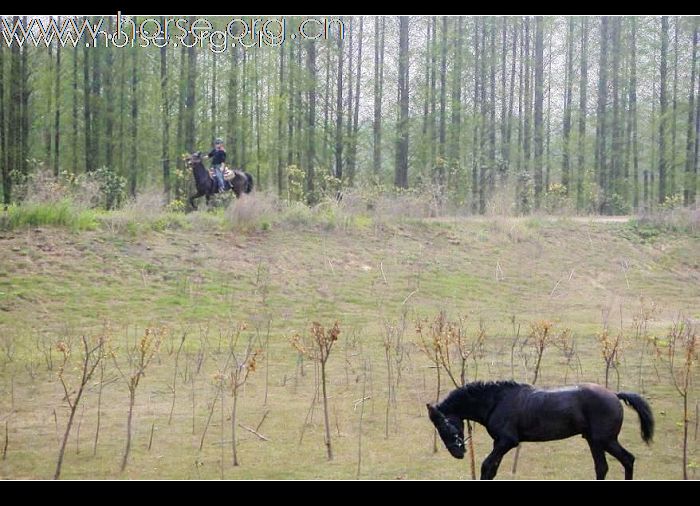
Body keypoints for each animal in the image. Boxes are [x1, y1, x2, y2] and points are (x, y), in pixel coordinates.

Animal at [426, 382, 656, 480]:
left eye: (444, 424)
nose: (458, 453)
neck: (497, 400)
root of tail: (615, 395)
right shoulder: (499, 444)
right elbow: (491, 469)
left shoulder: (507, 442)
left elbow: (486, 466)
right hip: (594, 441)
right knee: (603, 467)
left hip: (605, 440)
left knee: (627, 459)